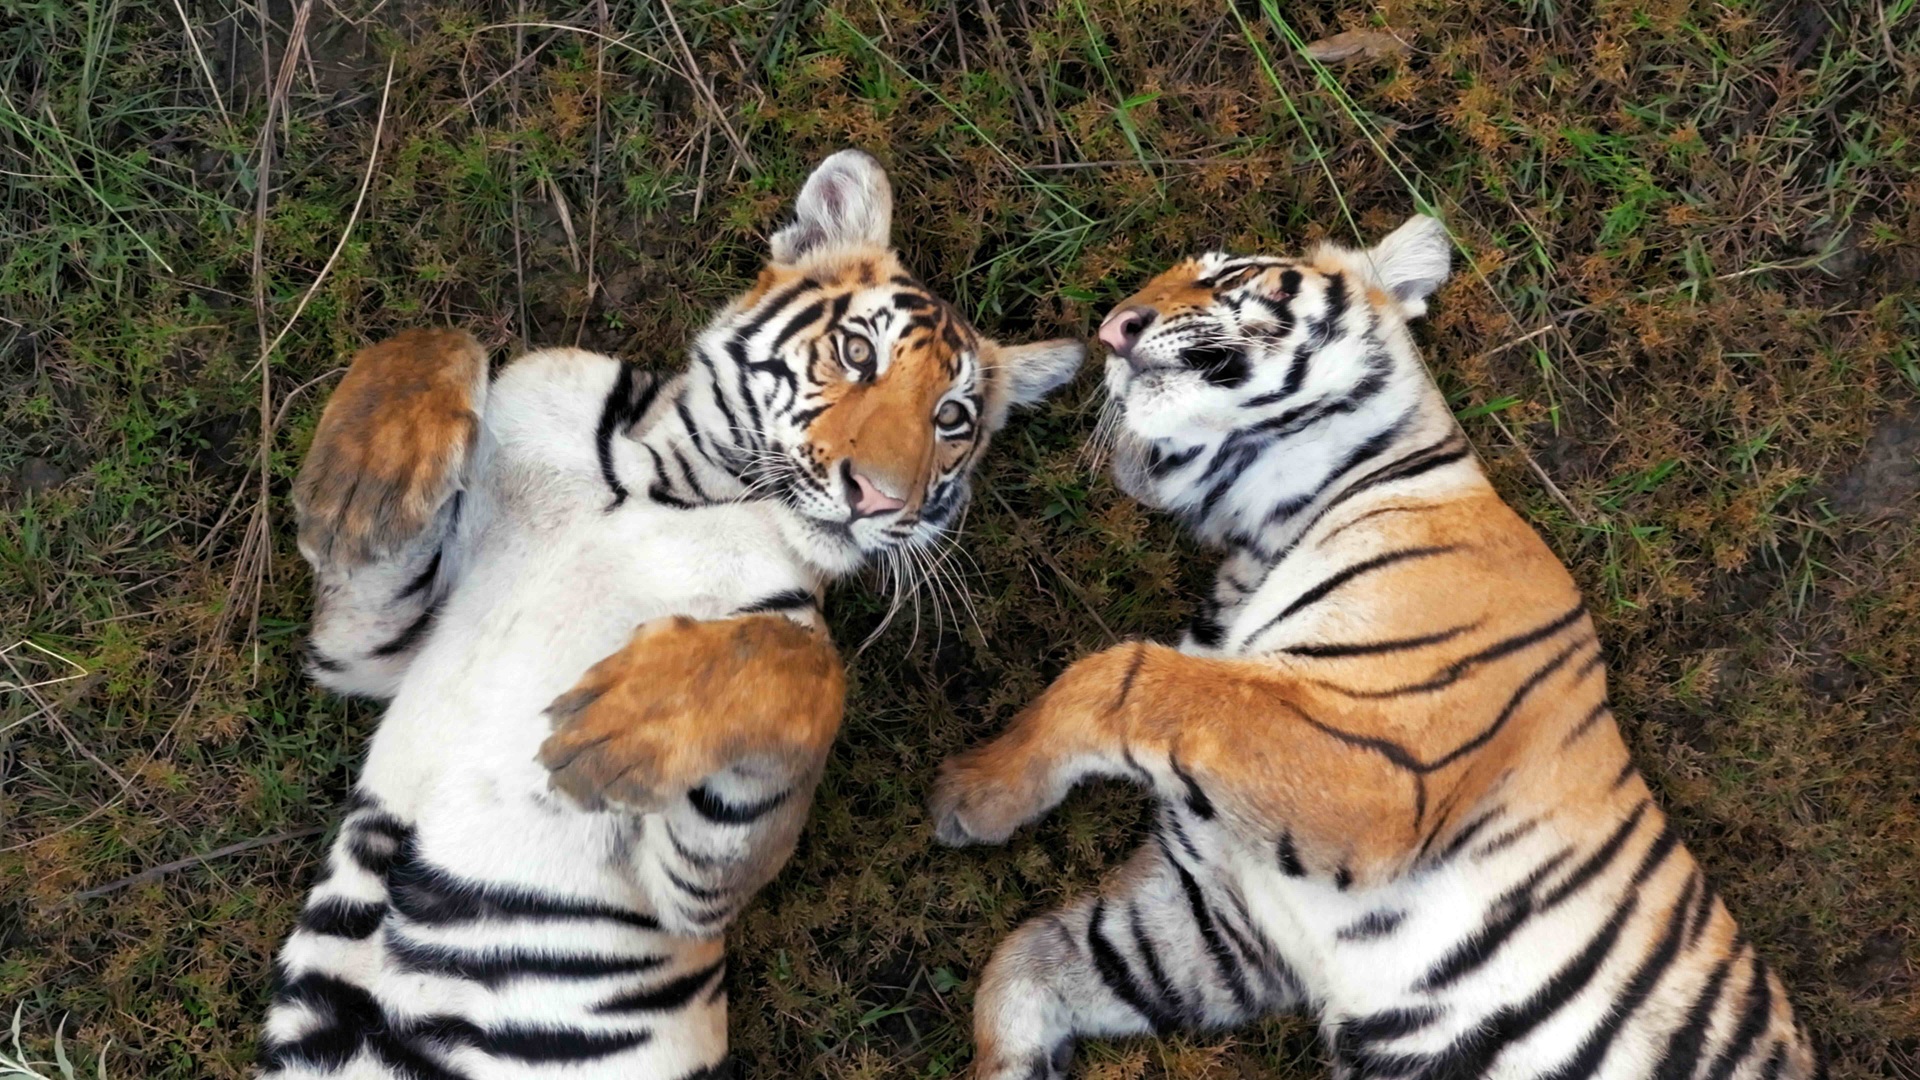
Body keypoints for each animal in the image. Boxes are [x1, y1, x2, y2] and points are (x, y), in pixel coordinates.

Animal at [258, 149, 1084, 1080]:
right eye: (856, 351)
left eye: (952, 419)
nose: (879, 498)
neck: (676, 489)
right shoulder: (373, 651)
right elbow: (447, 339)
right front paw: (362, 490)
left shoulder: (690, 896)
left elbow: (802, 664)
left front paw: (621, 724)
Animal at [929, 215, 1821, 1080]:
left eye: (1228, 273)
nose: (1113, 329)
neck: (1260, 525)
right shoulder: (1222, 914)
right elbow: (1029, 959)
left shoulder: (1383, 764)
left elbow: (1125, 675)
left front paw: (975, 790)